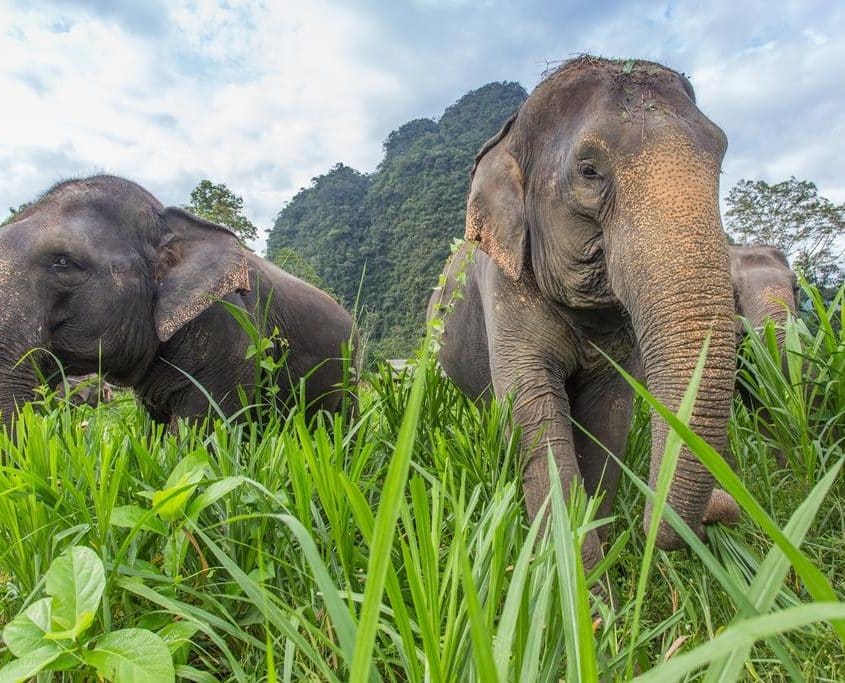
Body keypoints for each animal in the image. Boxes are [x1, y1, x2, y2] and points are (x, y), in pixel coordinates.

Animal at [427, 56, 740, 572]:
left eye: (720, 157)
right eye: (589, 170)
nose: (723, 509)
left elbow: (609, 418)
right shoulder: (504, 288)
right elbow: (534, 415)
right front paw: (580, 584)